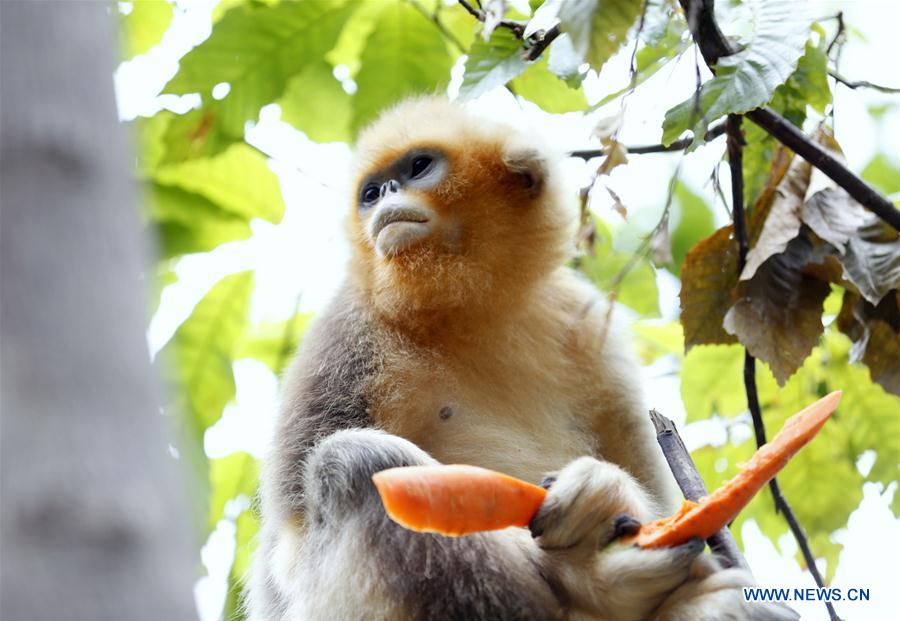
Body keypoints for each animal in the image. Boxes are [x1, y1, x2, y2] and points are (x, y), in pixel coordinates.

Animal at [247, 97, 796, 621]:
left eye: (419, 166)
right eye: (370, 193)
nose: (384, 195)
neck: (466, 311)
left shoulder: (588, 328)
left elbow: (665, 507)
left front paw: (607, 488)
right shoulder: (344, 341)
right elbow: (291, 555)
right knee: (358, 463)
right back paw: (597, 583)